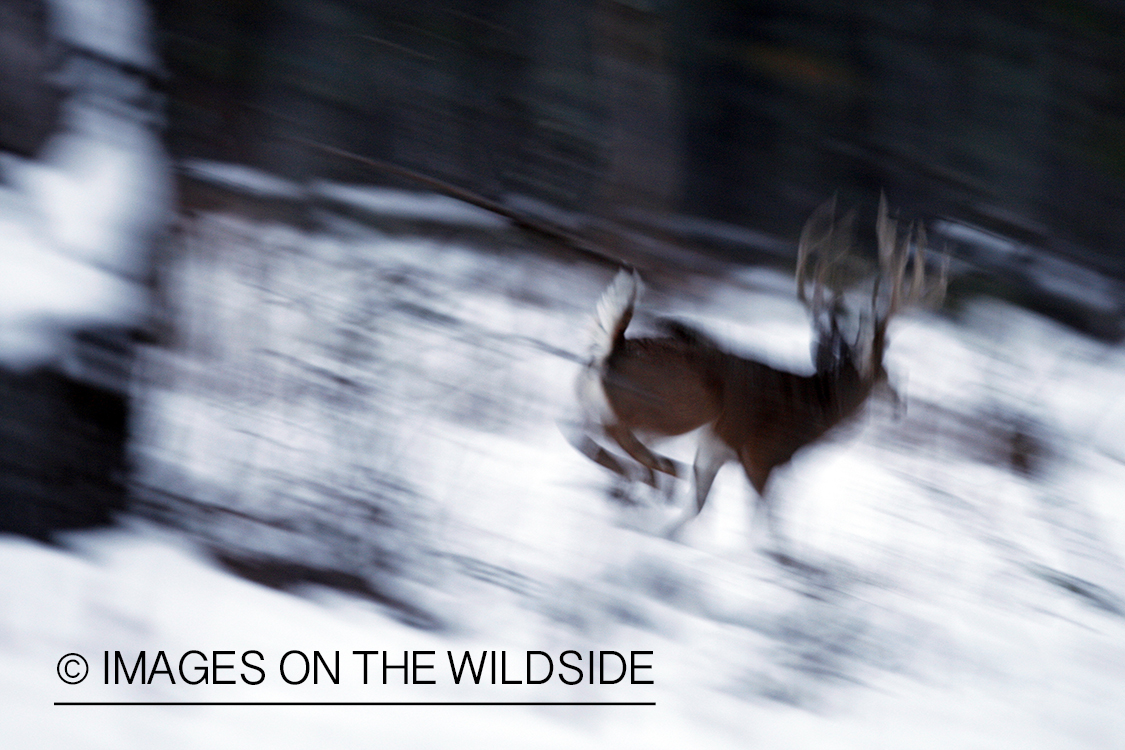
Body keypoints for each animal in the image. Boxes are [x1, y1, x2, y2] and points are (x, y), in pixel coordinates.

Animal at [571, 196, 949, 539]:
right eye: (887, 372)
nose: (901, 405)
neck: (811, 412)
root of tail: (613, 349)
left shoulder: (715, 451)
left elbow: (699, 505)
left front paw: (660, 528)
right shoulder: (761, 456)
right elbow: (765, 523)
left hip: (602, 399)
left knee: (581, 432)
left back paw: (637, 480)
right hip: (680, 406)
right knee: (618, 432)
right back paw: (652, 477)